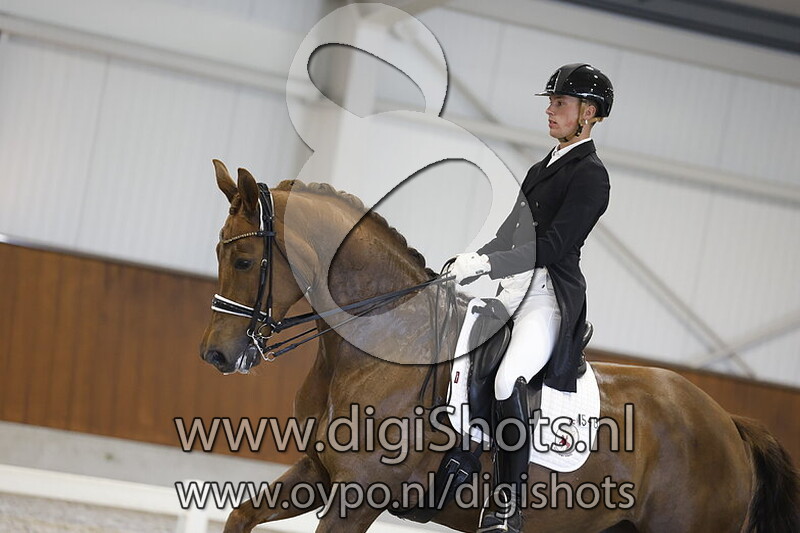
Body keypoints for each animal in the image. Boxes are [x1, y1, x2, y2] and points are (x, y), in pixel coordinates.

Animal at [199, 161, 800, 533]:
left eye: (246, 261)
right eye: (219, 253)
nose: (216, 355)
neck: (380, 343)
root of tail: (727, 423)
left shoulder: (360, 494)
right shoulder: (317, 472)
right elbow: (239, 517)